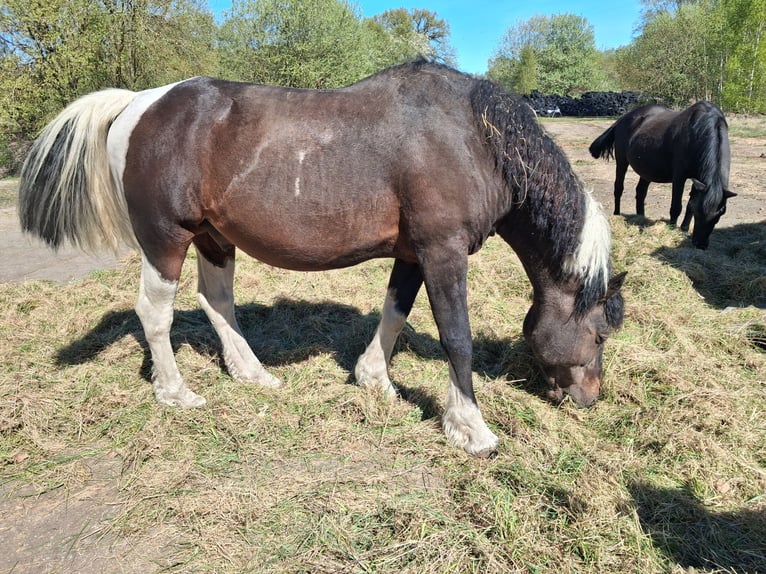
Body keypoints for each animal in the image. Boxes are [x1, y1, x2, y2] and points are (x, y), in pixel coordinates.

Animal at [18, 61, 625, 457]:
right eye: (599, 334)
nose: (590, 399)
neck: (476, 138)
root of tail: (138, 102)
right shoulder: (443, 252)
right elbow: (457, 336)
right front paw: (469, 428)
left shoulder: (413, 253)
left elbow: (395, 312)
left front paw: (374, 380)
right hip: (167, 238)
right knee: (156, 312)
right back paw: (176, 393)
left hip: (214, 238)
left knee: (216, 301)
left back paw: (252, 374)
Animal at [589, 101, 735, 249]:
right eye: (699, 213)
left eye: (719, 214)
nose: (700, 245)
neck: (699, 133)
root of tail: (623, 118)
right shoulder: (679, 177)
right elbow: (676, 206)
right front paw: (671, 228)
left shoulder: (699, 180)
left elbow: (690, 203)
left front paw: (684, 229)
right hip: (622, 161)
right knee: (618, 188)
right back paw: (617, 215)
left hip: (646, 170)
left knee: (640, 192)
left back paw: (640, 217)